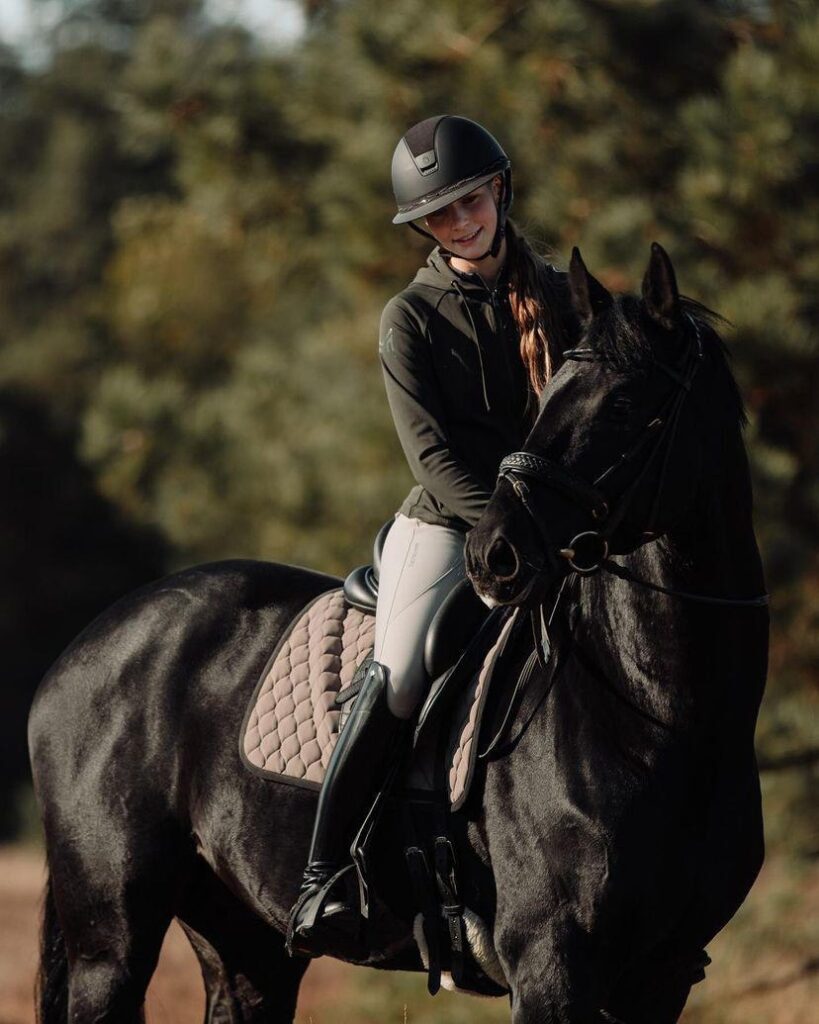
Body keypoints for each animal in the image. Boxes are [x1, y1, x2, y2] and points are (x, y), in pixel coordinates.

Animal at [28, 241, 768, 1023]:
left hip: (244, 941)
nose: (494, 555)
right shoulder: (551, 965)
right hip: (111, 935)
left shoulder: (660, 977)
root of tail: (89, 643)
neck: (657, 716)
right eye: (550, 397)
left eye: (623, 403)